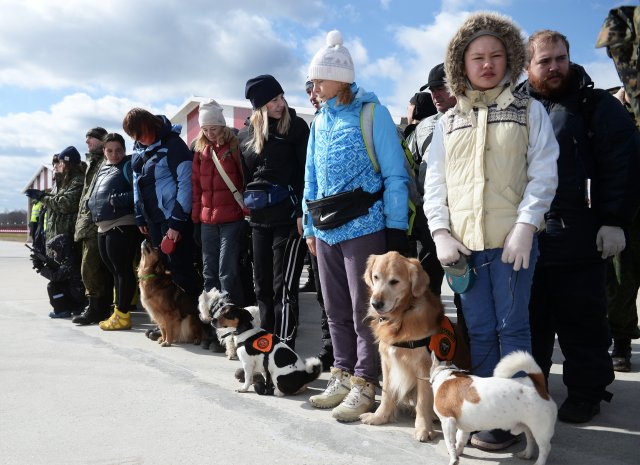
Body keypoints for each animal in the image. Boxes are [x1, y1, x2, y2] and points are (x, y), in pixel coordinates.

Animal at [360, 252, 444, 440]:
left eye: (394, 281)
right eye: (376, 277)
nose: (376, 303)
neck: (401, 317)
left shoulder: (424, 367)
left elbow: (423, 401)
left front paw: (423, 428)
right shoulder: (386, 361)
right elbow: (386, 392)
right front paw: (380, 417)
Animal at [430, 350, 560, 464]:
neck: (447, 374)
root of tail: (537, 384)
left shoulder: (447, 421)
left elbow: (450, 443)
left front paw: (453, 459)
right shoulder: (464, 427)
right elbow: (460, 440)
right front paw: (458, 452)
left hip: (541, 430)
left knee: (545, 449)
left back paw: (539, 462)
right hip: (528, 425)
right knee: (530, 439)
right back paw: (526, 454)